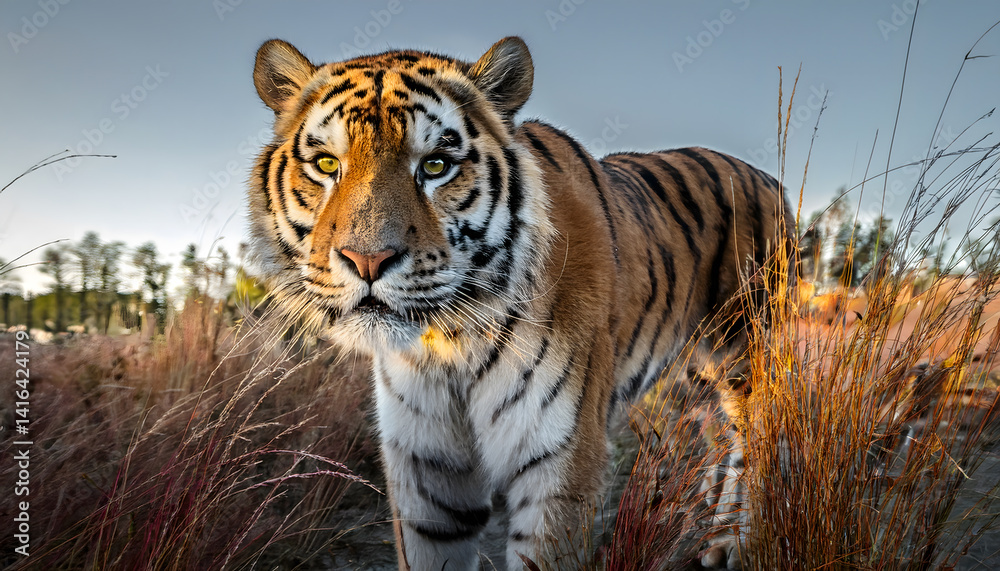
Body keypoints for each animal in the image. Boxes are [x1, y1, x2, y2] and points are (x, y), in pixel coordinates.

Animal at [247, 36, 792, 570]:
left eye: (436, 165)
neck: (445, 341)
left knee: (753, 440)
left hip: (745, 355)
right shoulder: (425, 468)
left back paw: (732, 544)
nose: (367, 260)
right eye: (326, 164)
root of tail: (771, 179)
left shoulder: (559, 462)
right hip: (694, 371)